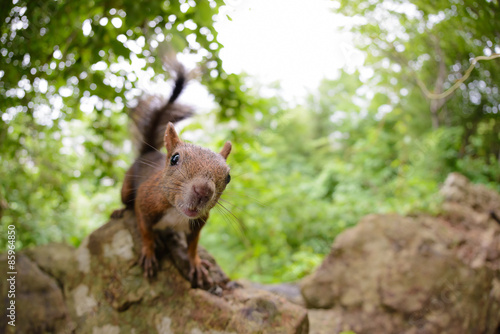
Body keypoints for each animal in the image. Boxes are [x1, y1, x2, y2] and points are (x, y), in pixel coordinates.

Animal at [111, 60, 232, 288]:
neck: (176, 213)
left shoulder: (197, 224)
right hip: (127, 187)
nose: (203, 191)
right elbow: (145, 232)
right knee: (127, 204)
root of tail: (148, 153)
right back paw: (119, 211)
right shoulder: (145, 204)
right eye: (175, 159)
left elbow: (193, 246)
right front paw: (149, 253)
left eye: (228, 177)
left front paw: (196, 264)